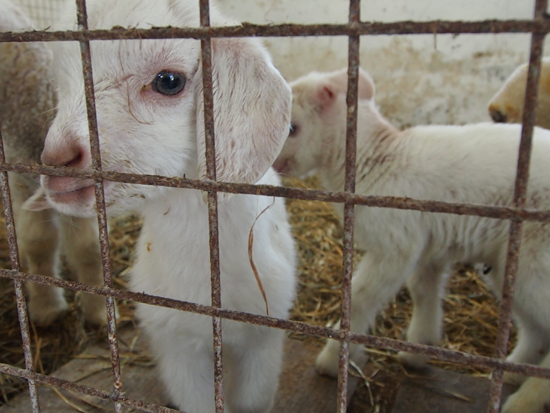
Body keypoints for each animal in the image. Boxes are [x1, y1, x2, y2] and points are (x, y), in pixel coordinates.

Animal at [24, 0, 297, 411]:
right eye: (61, 87)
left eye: (169, 81)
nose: (56, 160)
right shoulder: (177, 346)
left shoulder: (263, 336)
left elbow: (252, 400)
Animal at [273, 67, 550, 413]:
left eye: (292, 128)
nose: (269, 161)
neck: (374, 160)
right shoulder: (429, 244)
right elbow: (423, 290)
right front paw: (419, 348)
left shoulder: (396, 245)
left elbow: (359, 296)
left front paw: (333, 360)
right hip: (510, 267)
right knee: (536, 330)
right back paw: (511, 374)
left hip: (535, 260)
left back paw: (524, 400)